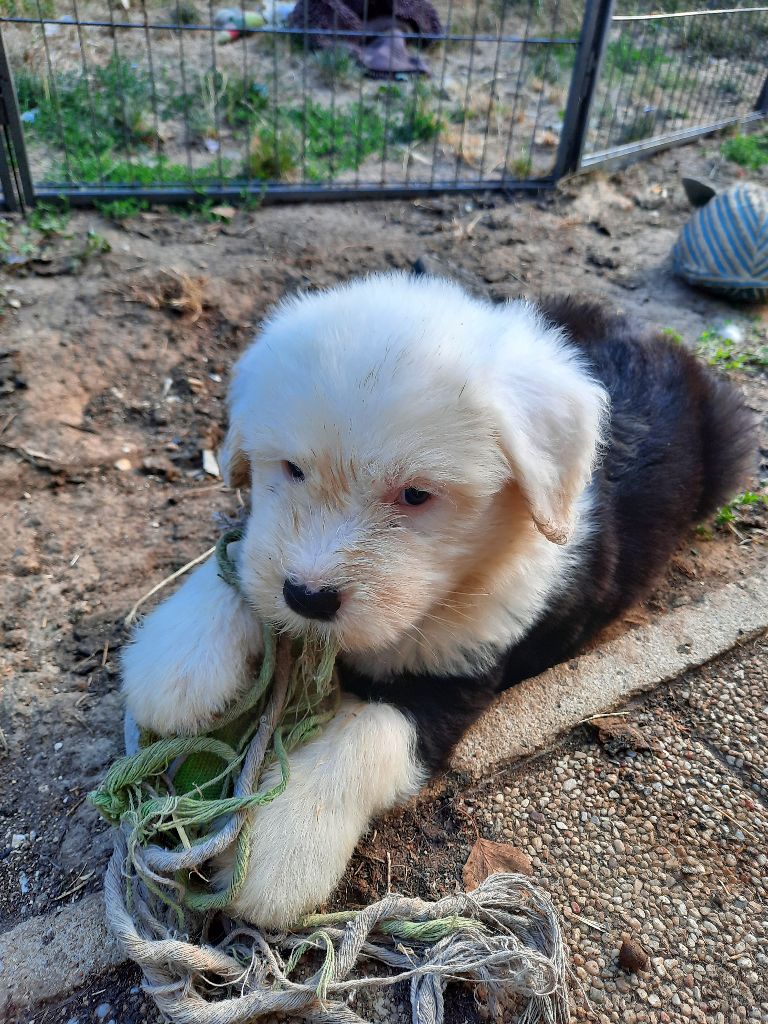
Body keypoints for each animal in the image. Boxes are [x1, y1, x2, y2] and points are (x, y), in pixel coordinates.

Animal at [122, 273, 754, 927]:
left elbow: (367, 730)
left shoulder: (459, 672)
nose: (307, 597)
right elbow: (240, 560)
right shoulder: (263, 559)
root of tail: (650, 334)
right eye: (291, 468)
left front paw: (280, 847)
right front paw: (177, 663)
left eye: (417, 495)